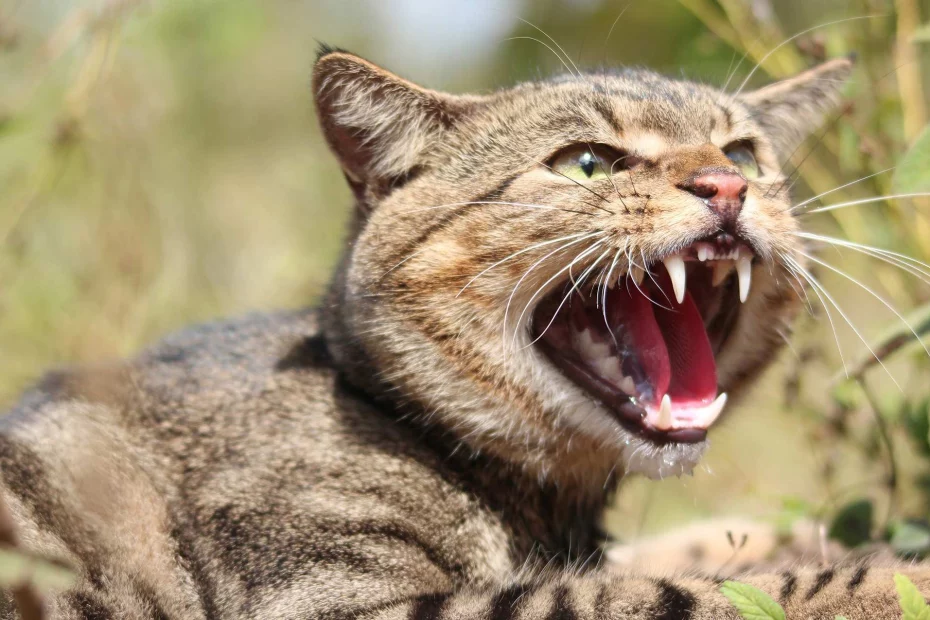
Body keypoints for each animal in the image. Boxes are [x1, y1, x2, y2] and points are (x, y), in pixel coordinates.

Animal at [0, 42, 920, 616]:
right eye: (587, 163)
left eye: (746, 154)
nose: (726, 186)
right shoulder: (341, 599)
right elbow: (693, 592)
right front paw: (893, 579)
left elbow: (697, 557)